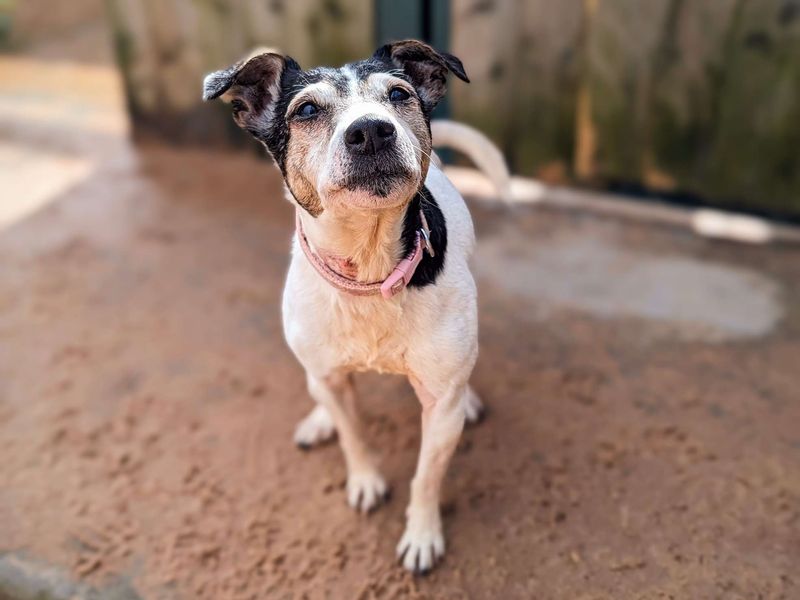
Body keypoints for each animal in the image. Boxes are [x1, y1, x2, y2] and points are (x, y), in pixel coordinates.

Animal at [203, 39, 510, 576]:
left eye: (398, 94)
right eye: (306, 110)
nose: (371, 130)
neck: (368, 272)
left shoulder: (439, 408)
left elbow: (427, 476)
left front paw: (421, 535)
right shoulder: (330, 378)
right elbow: (353, 435)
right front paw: (364, 479)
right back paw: (320, 419)